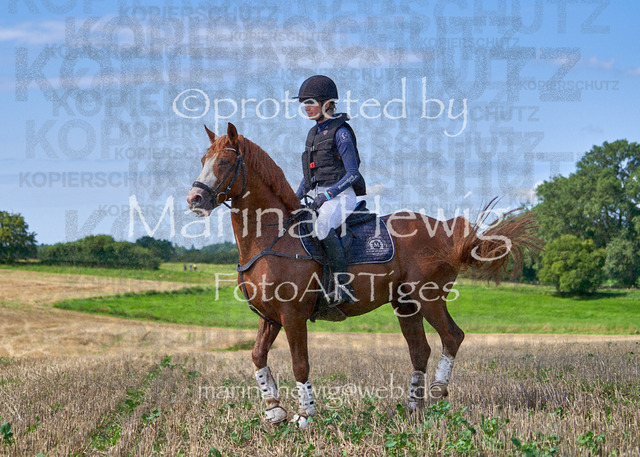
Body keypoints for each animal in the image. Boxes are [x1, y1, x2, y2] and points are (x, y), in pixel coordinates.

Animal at [186, 123, 541, 428]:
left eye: (225, 161)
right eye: (203, 160)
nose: (194, 199)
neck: (272, 237)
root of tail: (447, 233)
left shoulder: (293, 315)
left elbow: (300, 363)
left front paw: (304, 416)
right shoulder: (270, 316)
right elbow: (257, 355)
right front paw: (274, 410)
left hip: (430, 298)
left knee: (452, 336)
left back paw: (438, 393)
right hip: (405, 305)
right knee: (420, 350)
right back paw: (413, 408)